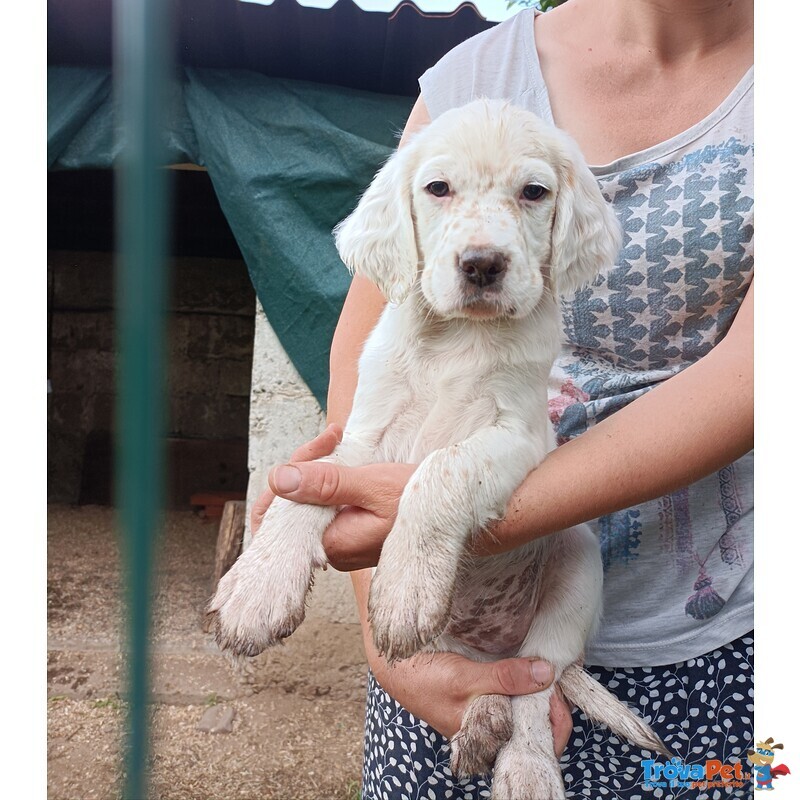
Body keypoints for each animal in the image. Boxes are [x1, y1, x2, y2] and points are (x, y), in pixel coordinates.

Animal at [208, 101, 668, 800]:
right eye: (438, 188)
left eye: (534, 193)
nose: (482, 264)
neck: (458, 338)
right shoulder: (365, 439)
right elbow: (308, 484)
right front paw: (257, 588)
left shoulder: (516, 436)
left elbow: (442, 469)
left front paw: (403, 584)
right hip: (467, 640)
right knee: (492, 676)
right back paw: (480, 721)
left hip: (577, 567)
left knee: (535, 684)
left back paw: (525, 766)